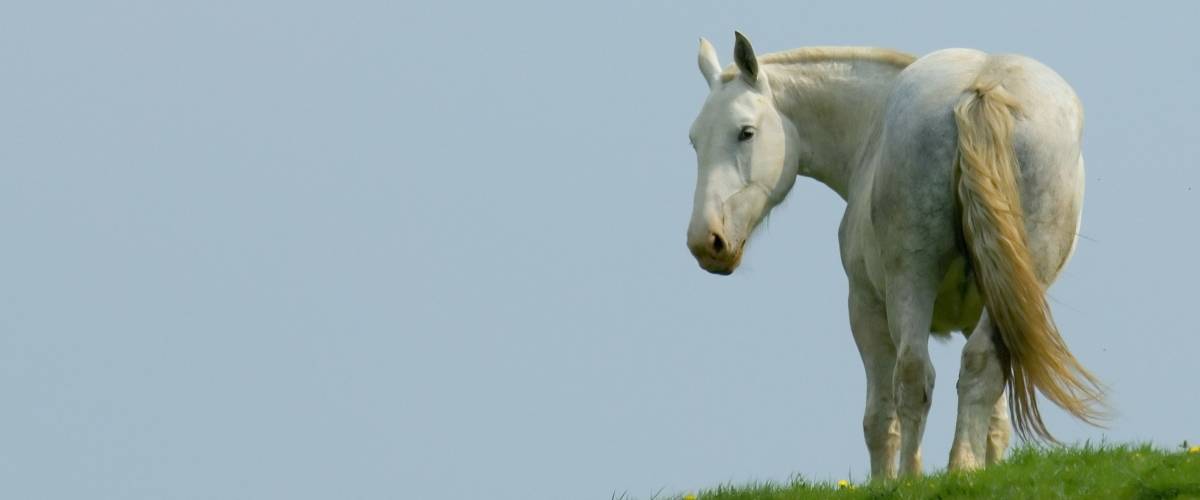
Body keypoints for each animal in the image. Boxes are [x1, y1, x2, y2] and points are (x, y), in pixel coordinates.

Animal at [686, 33, 1104, 477]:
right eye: (695, 140)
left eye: (745, 133)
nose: (705, 241)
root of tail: (983, 87)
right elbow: (994, 418)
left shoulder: (865, 307)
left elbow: (879, 418)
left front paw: (884, 481)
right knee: (977, 366)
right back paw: (962, 468)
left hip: (910, 279)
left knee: (914, 374)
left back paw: (910, 478)